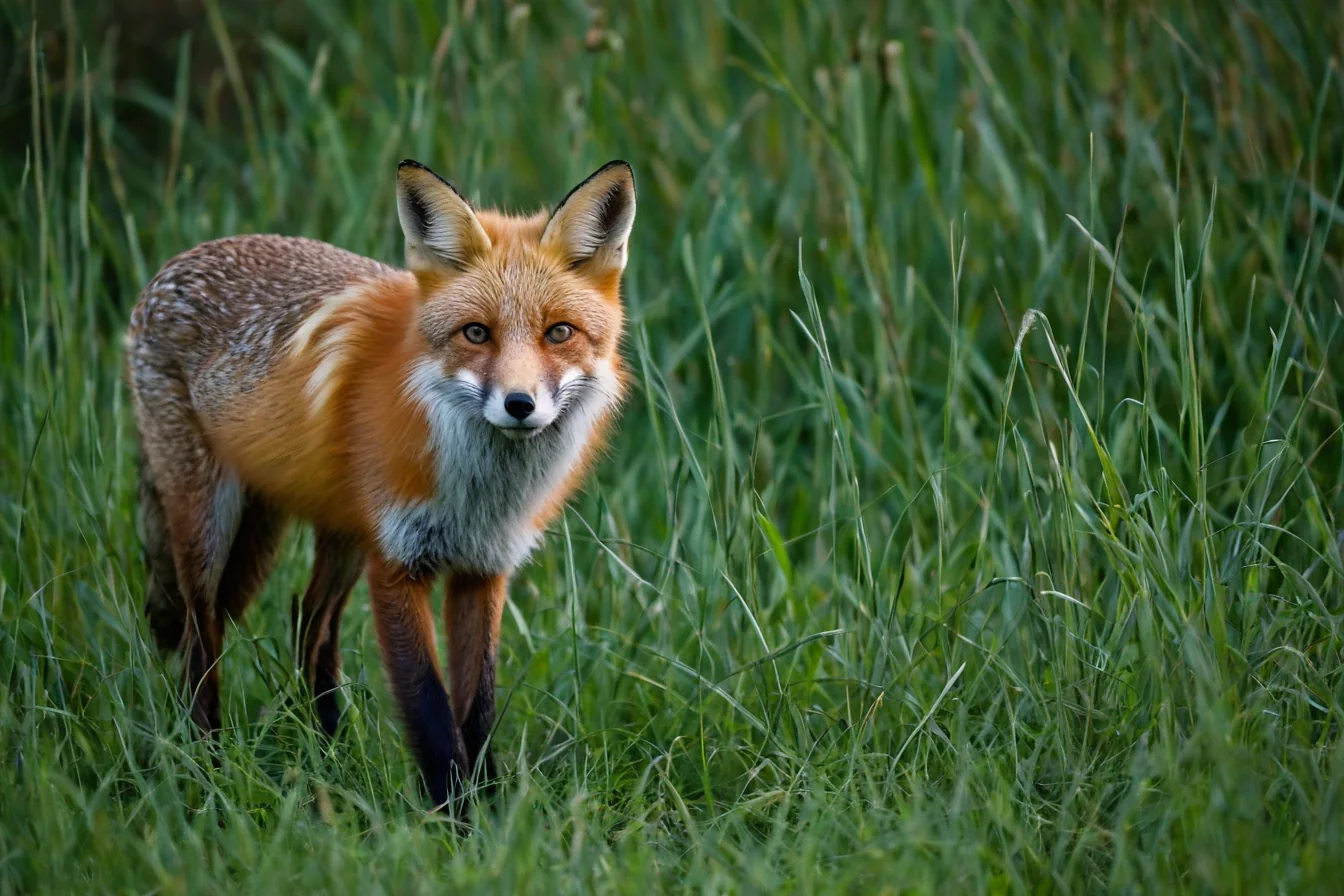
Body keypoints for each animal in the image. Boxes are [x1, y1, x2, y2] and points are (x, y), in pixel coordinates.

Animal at [124, 158, 635, 809]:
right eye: (476, 334)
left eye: (559, 333)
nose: (520, 405)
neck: (479, 494)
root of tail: (175, 264)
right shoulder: (396, 564)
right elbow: (432, 714)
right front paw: (456, 820)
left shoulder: (483, 568)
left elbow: (478, 709)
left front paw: (492, 811)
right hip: (208, 524)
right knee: (202, 634)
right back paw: (209, 767)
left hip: (342, 533)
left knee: (308, 622)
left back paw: (329, 755)